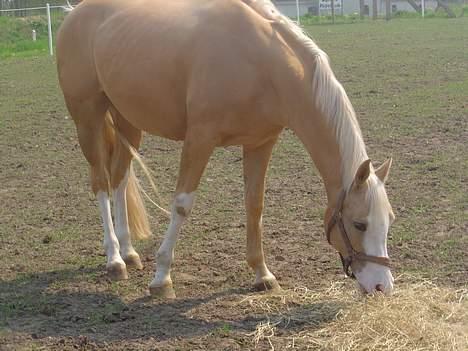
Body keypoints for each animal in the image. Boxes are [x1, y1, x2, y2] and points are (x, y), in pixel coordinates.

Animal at [55, 0, 394, 298]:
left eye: (388, 221)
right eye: (359, 223)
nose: (382, 286)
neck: (260, 63)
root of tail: (75, 13)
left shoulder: (260, 143)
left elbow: (255, 205)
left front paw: (262, 274)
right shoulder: (199, 139)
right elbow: (182, 205)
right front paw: (162, 278)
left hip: (128, 122)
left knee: (120, 179)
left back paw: (128, 253)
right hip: (88, 119)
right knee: (100, 183)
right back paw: (114, 259)